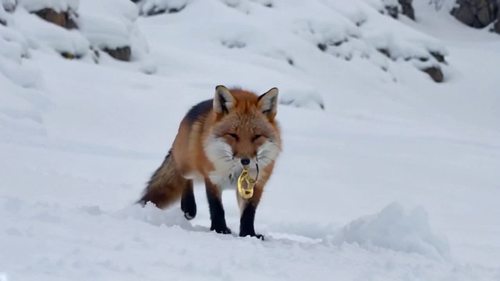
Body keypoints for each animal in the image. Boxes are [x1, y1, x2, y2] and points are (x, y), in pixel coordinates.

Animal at [138, 84, 282, 237]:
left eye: (256, 136)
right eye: (233, 135)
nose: (245, 161)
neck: (236, 171)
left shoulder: (256, 184)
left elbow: (248, 213)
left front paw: (248, 234)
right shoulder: (213, 179)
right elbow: (216, 208)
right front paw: (220, 229)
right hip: (188, 166)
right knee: (185, 178)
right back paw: (188, 207)